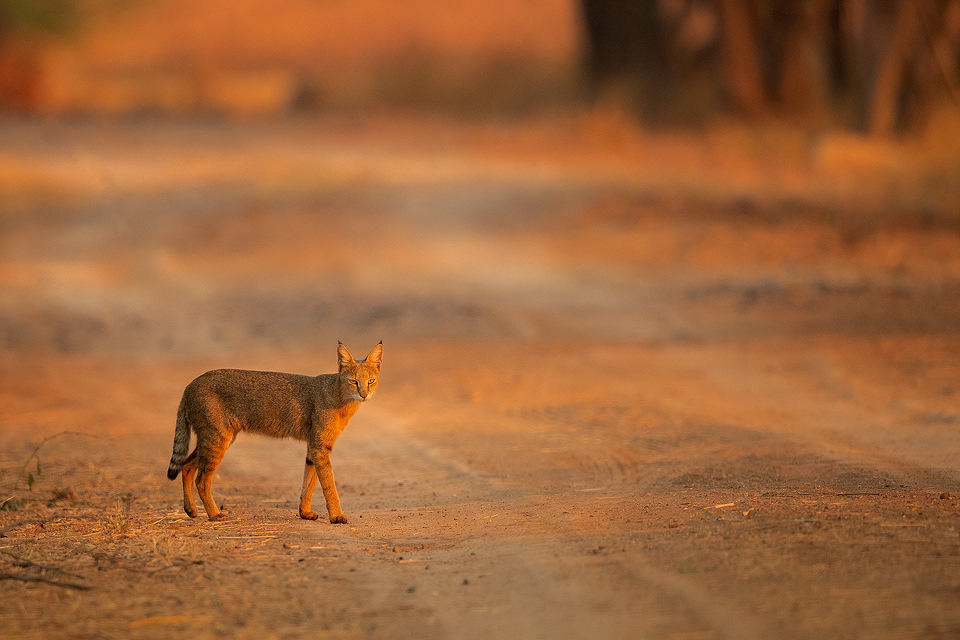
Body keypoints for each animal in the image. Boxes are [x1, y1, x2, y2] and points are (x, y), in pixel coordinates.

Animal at [167, 342, 380, 524]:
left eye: (371, 381)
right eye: (353, 381)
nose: (364, 394)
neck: (341, 396)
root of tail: (190, 384)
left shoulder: (314, 447)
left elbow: (309, 482)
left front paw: (305, 512)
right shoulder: (320, 446)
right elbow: (329, 485)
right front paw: (337, 516)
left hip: (213, 439)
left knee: (186, 465)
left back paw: (191, 510)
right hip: (217, 439)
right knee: (201, 479)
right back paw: (214, 515)